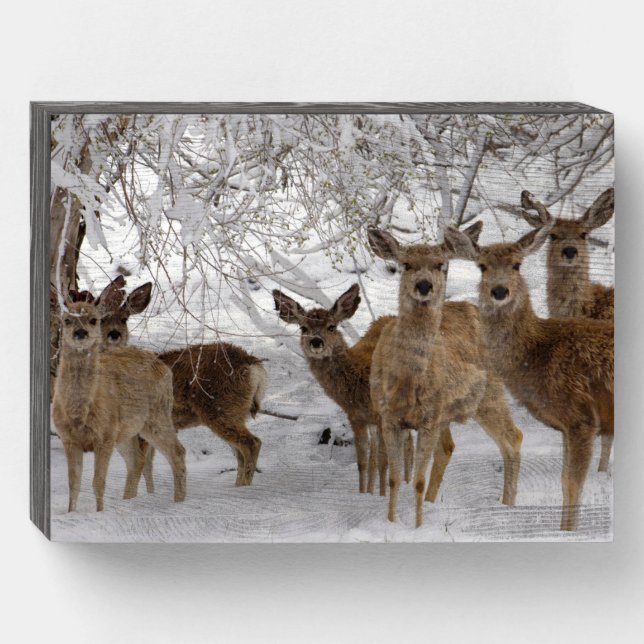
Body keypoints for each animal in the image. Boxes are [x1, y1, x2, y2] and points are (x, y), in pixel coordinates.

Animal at [51, 289, 187, 512]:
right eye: (67, 320)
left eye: (94, 319)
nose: (81, 333)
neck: (80, 412)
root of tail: (163, 366)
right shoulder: (69, 438)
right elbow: (74, 484)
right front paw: (72, 513)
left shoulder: (105, 436)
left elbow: (98, 482)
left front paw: (99, 513)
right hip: (127, 431)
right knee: (136, 461)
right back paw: (129, 501)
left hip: (157, 414)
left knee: (177, 451)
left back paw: (179, 502)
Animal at [95, 280, 267, 489]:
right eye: (100, 319)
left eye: (124, 319)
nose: (114, 334)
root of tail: (253, 364)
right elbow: (148, 469)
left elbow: (138, 467)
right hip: (234, 412)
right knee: (240, 452)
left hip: (221, 408)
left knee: (252, 444)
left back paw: (245, 488)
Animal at [368, 227, 524, 528]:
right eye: (406, 264)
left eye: (441, 264)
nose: (424, 286)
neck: (406, 382)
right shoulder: (389, 417)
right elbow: (394, 478)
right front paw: (391, 522)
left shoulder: (429, 419)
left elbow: (416, 480)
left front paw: (417, 527)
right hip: (449, 411)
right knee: (449, 447)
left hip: (489, 394)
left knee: (513, 438)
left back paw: (508, 506)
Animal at [445, 223, 614, 531]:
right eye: (482, 266)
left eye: (517, 264)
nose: (500, 290)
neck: (540, 352)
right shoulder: (568, 425)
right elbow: (563, 483)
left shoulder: (582, 418)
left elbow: (572, 485)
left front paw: (568, 533)